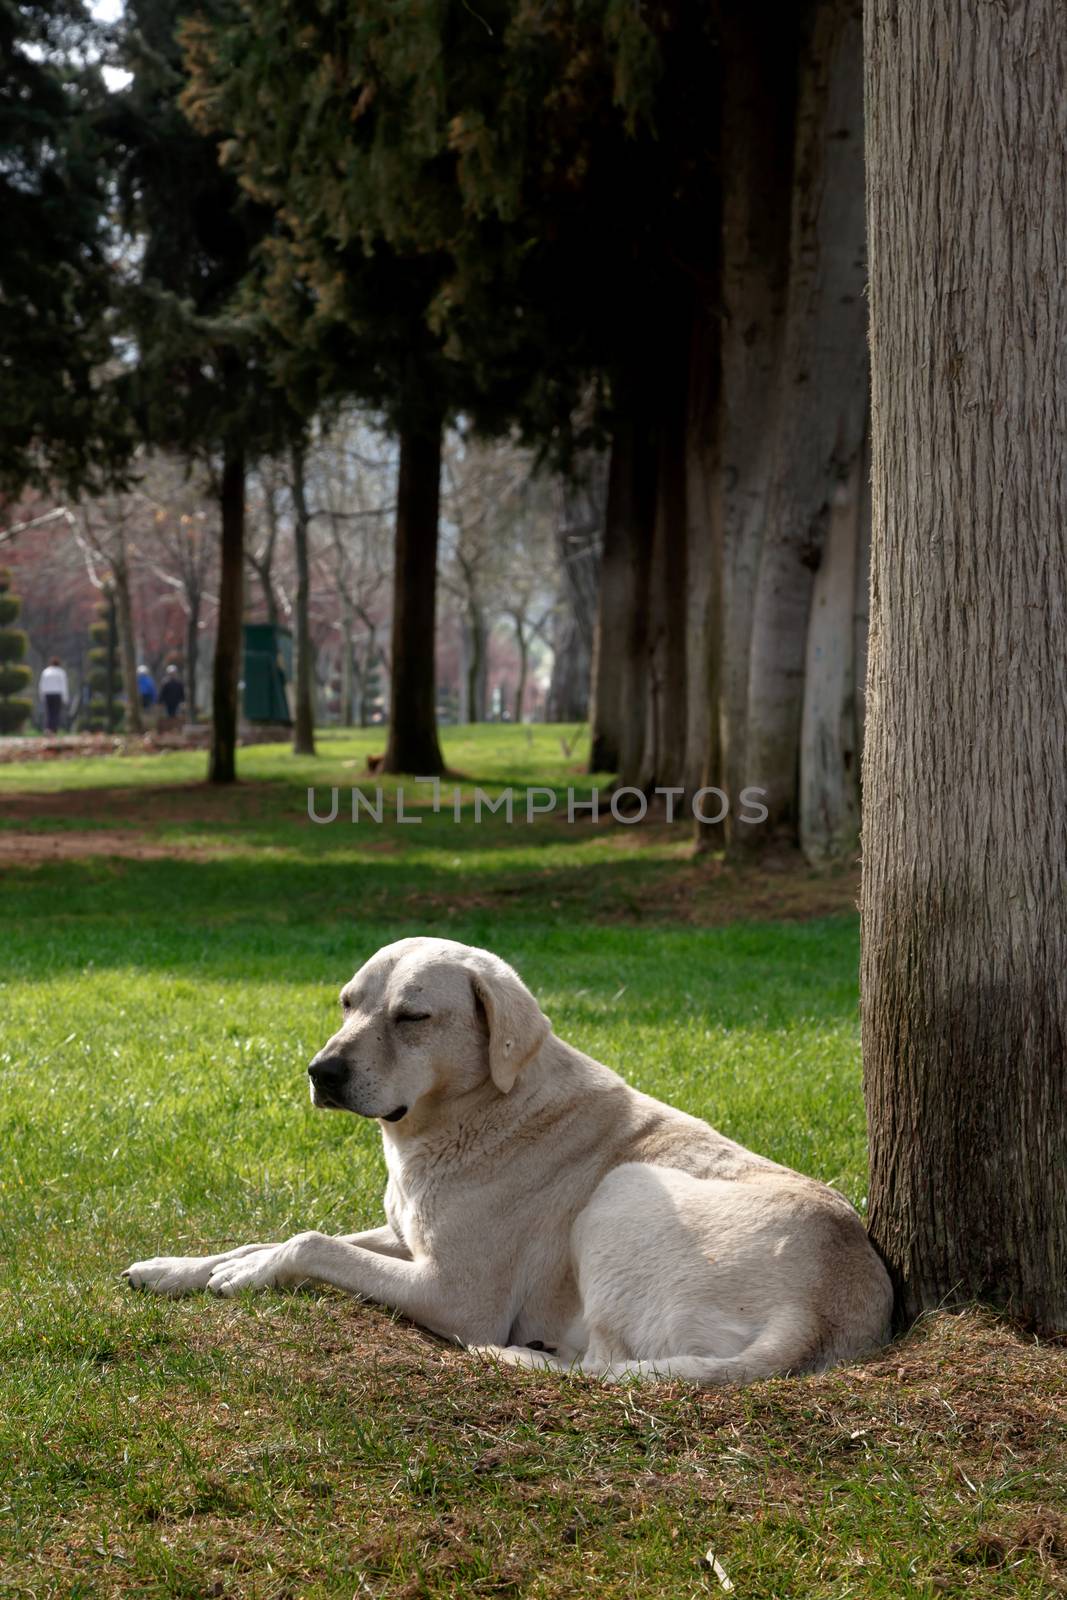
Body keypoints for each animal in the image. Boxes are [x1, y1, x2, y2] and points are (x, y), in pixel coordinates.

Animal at [123, 940, 895, 1382]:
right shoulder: (404, 1235)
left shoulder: (454, 1295)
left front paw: (246, 1273)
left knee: (604, 1365)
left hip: (622, 1191)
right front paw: (181, 1268)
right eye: (346, 1003)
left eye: (412, 1017)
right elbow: (272, 1236)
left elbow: (309, 1242)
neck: (473, 1114)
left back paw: (524, 1357)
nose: (320, 1072)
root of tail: (817, 1311)